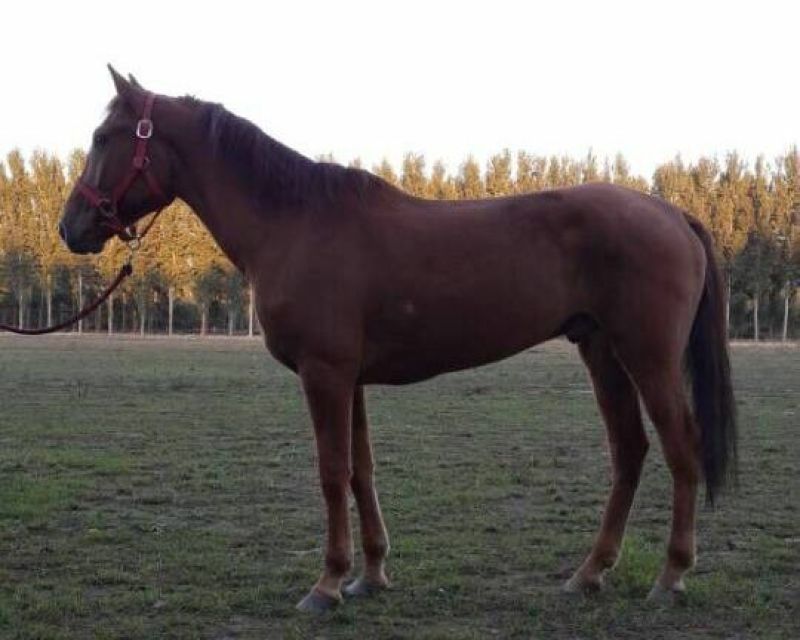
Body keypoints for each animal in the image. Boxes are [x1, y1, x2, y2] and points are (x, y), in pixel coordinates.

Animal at [58, 66, 736, 613]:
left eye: (102, 138)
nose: (72, 226)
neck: (294, 222)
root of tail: (671, 213)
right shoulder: (348, 378)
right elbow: (362, 470)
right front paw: (370, 575)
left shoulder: (325, 374)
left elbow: (332, 472)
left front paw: (327, 584)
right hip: (601, 351)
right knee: (630, 451)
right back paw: (589, 574)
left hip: (647, 358)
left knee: (680, 449)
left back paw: (670, 577)